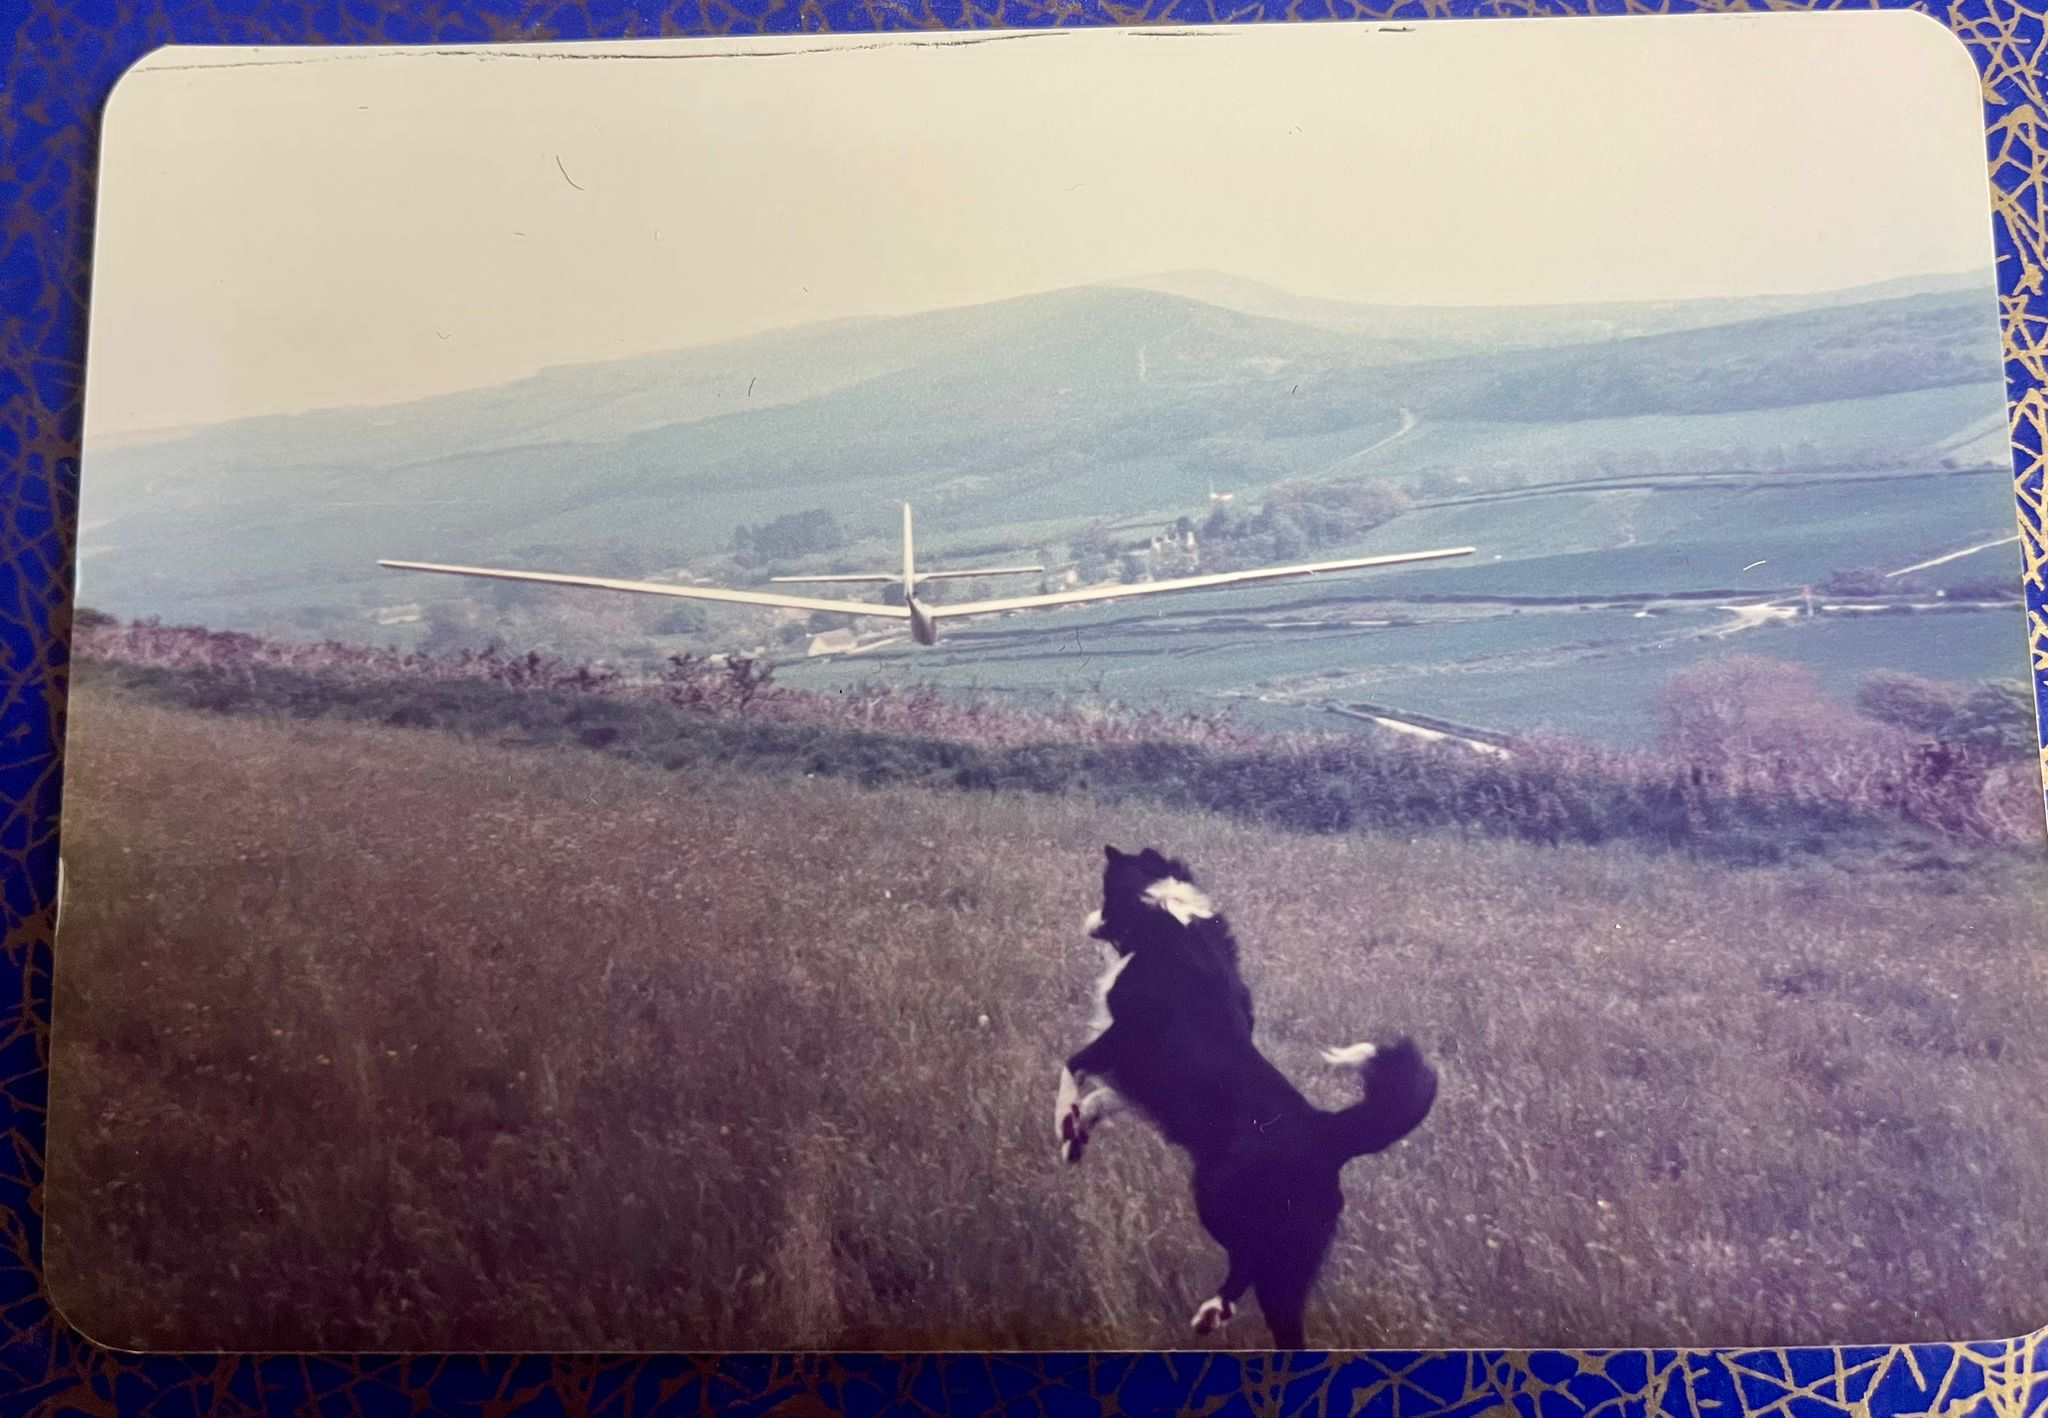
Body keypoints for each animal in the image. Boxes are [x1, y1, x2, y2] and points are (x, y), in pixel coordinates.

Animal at [1056, 848, 1441, 1344]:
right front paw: (1076, 1140)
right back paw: (1217, 1318)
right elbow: (1100, 1099)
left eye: (1104, 897)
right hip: (1293, 1257)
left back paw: (1214, 1310)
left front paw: (1063, 1122)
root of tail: (1329, 1134)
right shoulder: (1142, 1081)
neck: (1164, 916)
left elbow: (1072, 1066)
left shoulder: (1125, 1038)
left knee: (1248, 1258)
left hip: (1219, 1196)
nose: (1086, 920)